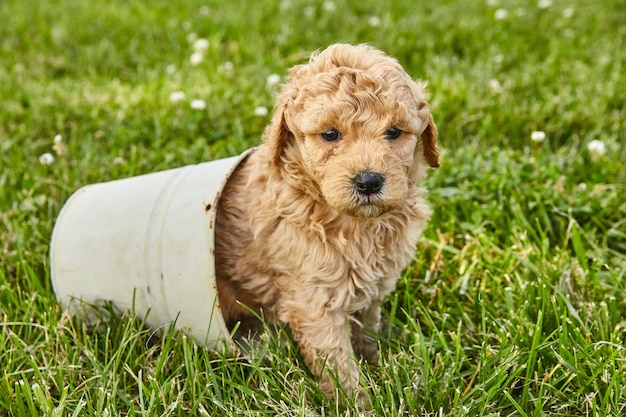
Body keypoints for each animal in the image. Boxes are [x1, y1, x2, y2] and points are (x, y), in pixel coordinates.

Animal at [214, 44, 438, 398]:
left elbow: (366, 333)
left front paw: (378, 365)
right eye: (330, 134)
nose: (369, 181)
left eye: (394, 132)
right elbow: (339, 367)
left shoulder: (371, 290)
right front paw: (358, 402)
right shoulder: (315, 304)